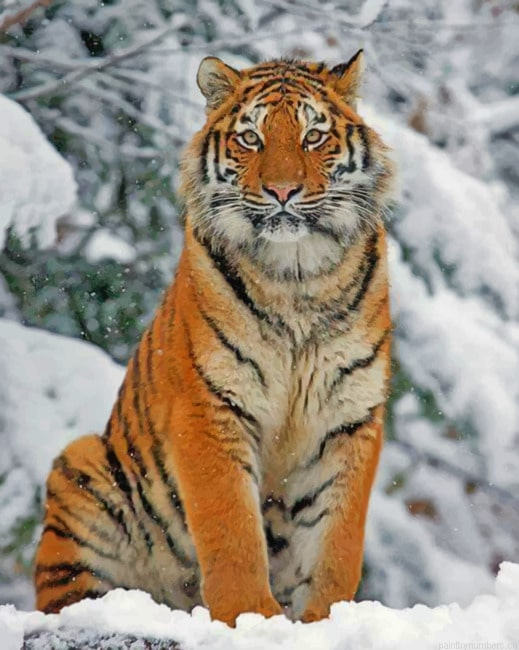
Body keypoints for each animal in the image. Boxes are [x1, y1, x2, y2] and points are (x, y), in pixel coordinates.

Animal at [34, 50, 395, 626]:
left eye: (314, 136)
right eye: (251, 138)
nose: (283, 191)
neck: (297, 277)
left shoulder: (349, 416)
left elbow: (337, 544)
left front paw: (325, 621)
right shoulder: (209, 407)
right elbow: (231, 531)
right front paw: (251, 617)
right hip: (81, 468)